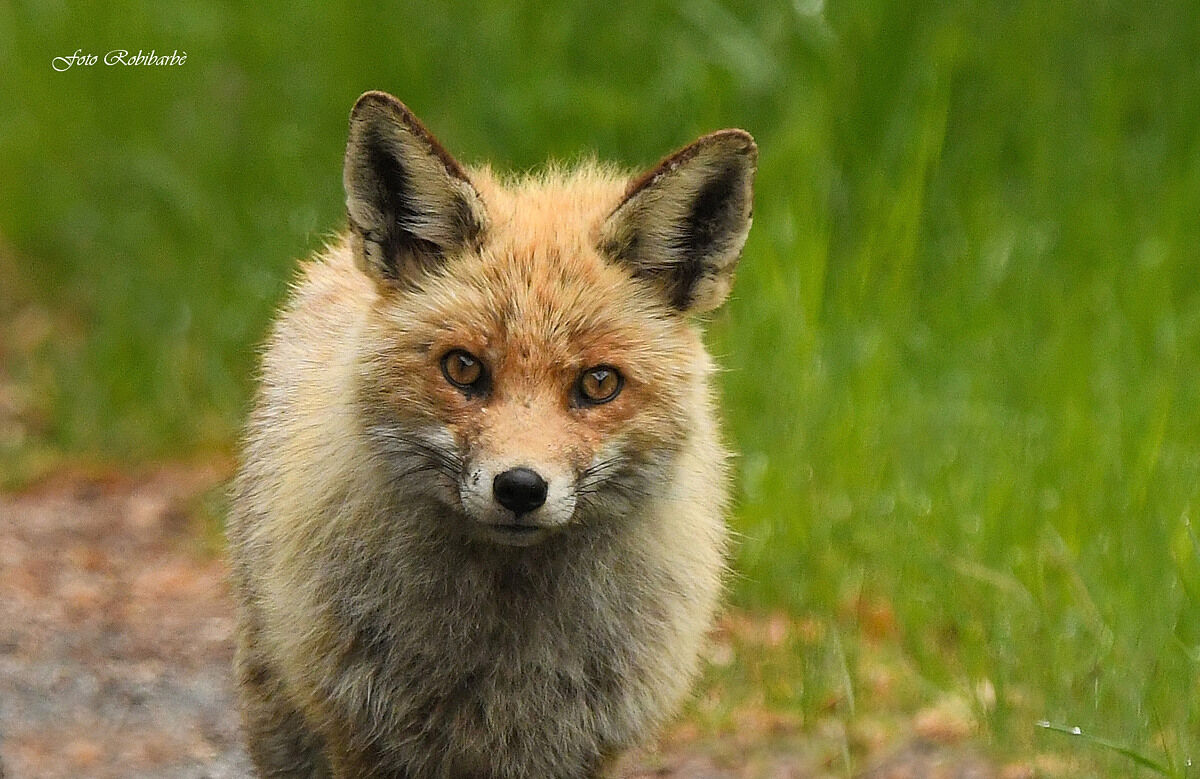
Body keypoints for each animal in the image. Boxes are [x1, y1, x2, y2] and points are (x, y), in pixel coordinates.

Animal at [227, 90, 757, 778]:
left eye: (599, 383)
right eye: (463, 367)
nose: (521, 488)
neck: (503, 662)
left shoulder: (583, 747)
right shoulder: (365, 734)